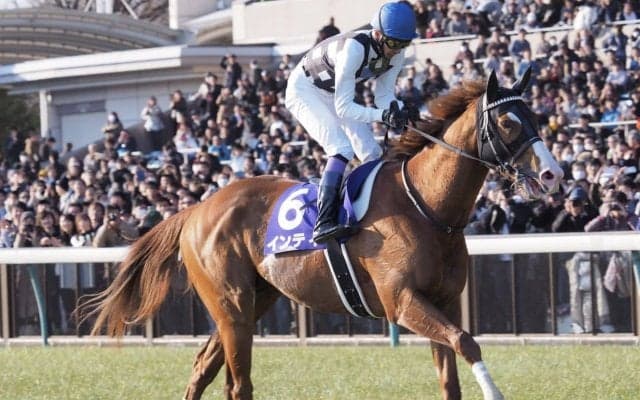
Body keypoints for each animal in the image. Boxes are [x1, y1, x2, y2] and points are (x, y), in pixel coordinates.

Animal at [81, 69, 563, 400]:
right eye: (508, 123)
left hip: (253, 302)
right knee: (239, 383)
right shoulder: (403, 301)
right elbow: (466, 341)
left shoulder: (440, 301)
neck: (427, 206)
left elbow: (451, 377)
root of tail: (198, 208)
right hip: (231, 304)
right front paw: (495, 392)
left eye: (534, 115)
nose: (553, 174)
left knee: (204, 367)